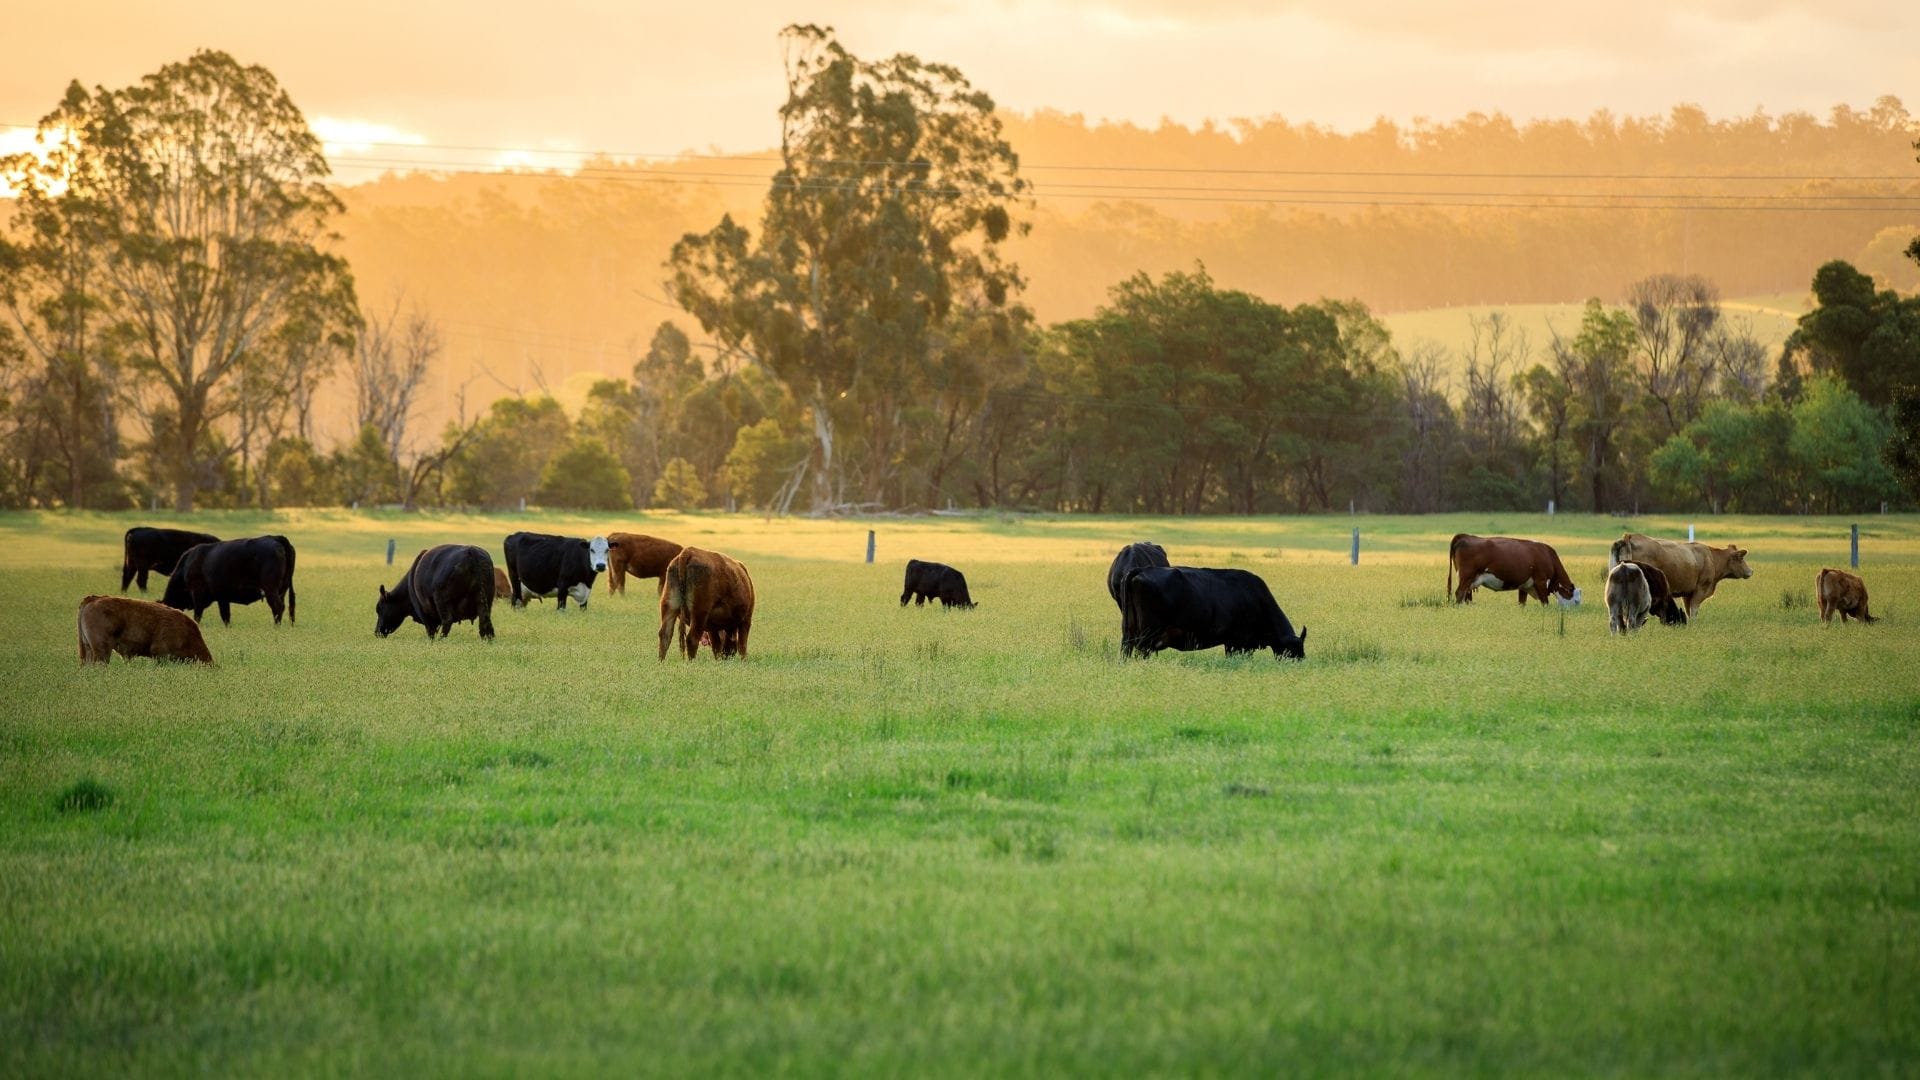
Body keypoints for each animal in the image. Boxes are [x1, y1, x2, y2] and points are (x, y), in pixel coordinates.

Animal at [161, 534, 295, 626]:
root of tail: (275, 537)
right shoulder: (222, 596)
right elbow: (225, 615)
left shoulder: (197, 591)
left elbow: (198, 613)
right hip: (282, 589)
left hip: (270, 588)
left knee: (277, 606)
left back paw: (276, 627)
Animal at [1113, 564, 1305, 657]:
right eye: (1295, 651)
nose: (1300, 662)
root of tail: (1141, 569)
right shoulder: (1240, 643)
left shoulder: (1232, 642)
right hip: (1147, 635)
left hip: (1129, 631)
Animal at [1443, 530, 1582, 607]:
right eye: (1576, 601)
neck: (1548, 556)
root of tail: (1465, 536)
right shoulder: (1541, 581)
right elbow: (1545, 603)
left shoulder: (1524, 586)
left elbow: (1522, 603)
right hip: (1466, 577)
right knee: (1459, 594)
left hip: (1470, 581)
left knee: (1466, 596)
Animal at [1605, 530, 1758, 614]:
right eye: (1741, 558)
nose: (1750, 571)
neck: (1711, 558)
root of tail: (1629, 536)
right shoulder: (1700, 589)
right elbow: (1694, 610)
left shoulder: (1687, 593)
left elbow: (1689, 610)